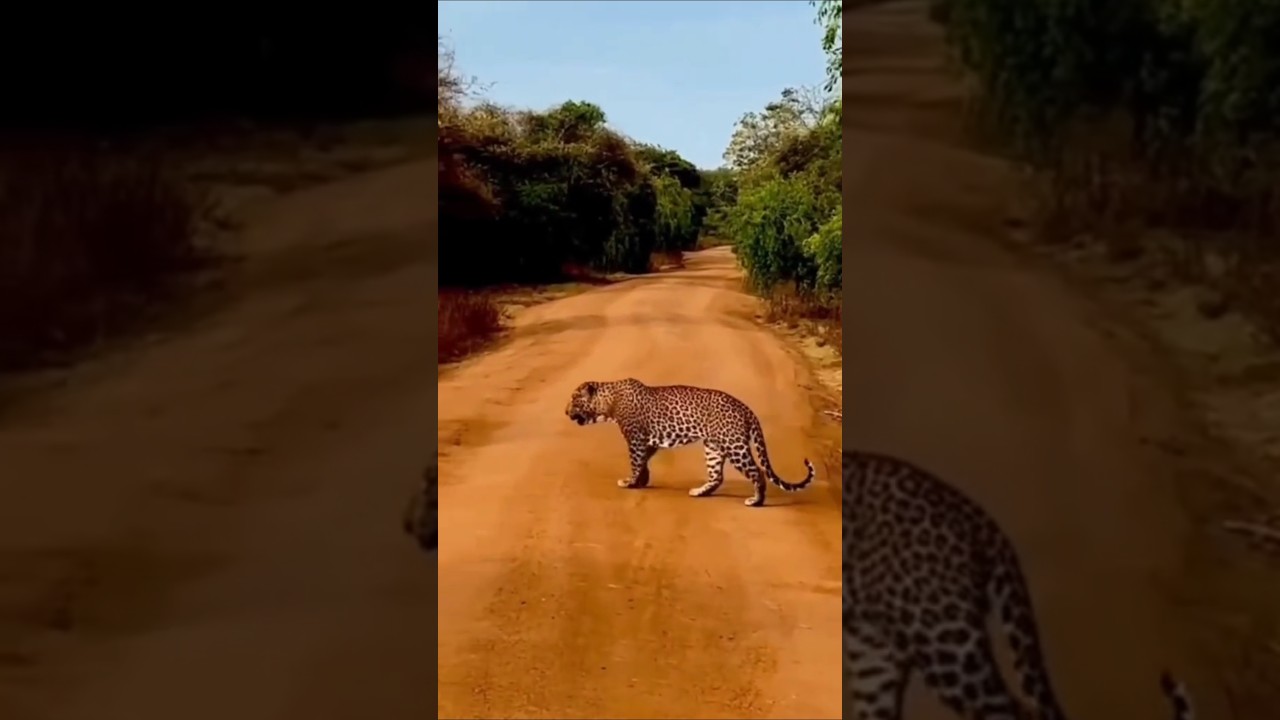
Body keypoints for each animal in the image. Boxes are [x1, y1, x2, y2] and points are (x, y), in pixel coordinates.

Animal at [564, 378, 815, 507]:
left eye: (574, 399)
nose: (565, 411)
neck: (608, 402)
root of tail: (745, 408)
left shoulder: (635, 438)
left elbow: (636, 463)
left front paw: (630, 482)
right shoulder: (649, 442)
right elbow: (644, 463)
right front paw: (642, 481)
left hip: (734, 445)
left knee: (757, 472)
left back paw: (756, 500)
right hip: (713, 447)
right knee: (716, 476)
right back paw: (700, 492)